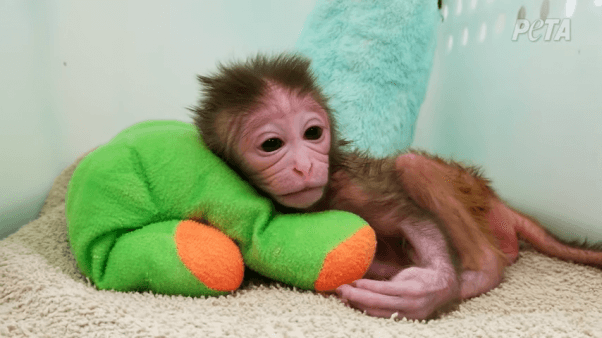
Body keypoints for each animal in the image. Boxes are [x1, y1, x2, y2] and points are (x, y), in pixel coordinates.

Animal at [191, 52, 600, 320]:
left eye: (312, 134)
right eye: (272, 144)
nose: (305, 166)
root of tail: (499, 201)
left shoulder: (351, 186)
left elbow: (411, 221)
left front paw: (429, 288)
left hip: (470, 191)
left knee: (410, 164)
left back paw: (481, 272)